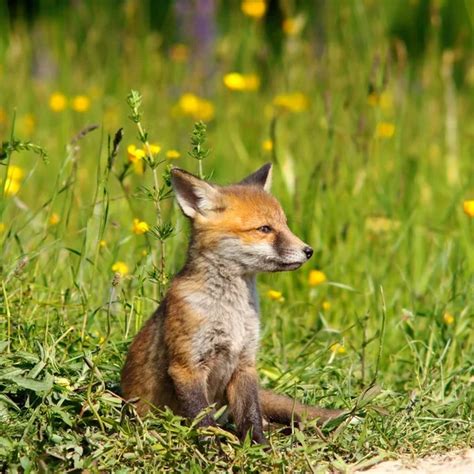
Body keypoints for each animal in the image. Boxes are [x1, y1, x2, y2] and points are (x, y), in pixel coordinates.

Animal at [121, 164, 344, 444]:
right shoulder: (187, 365)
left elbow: (250, 415)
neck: (232, 313)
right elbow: (203, 419)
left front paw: (259, 446)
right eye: (264, 229)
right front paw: (212, 448)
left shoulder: (245, 363)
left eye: (284, 225)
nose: (308, 251)